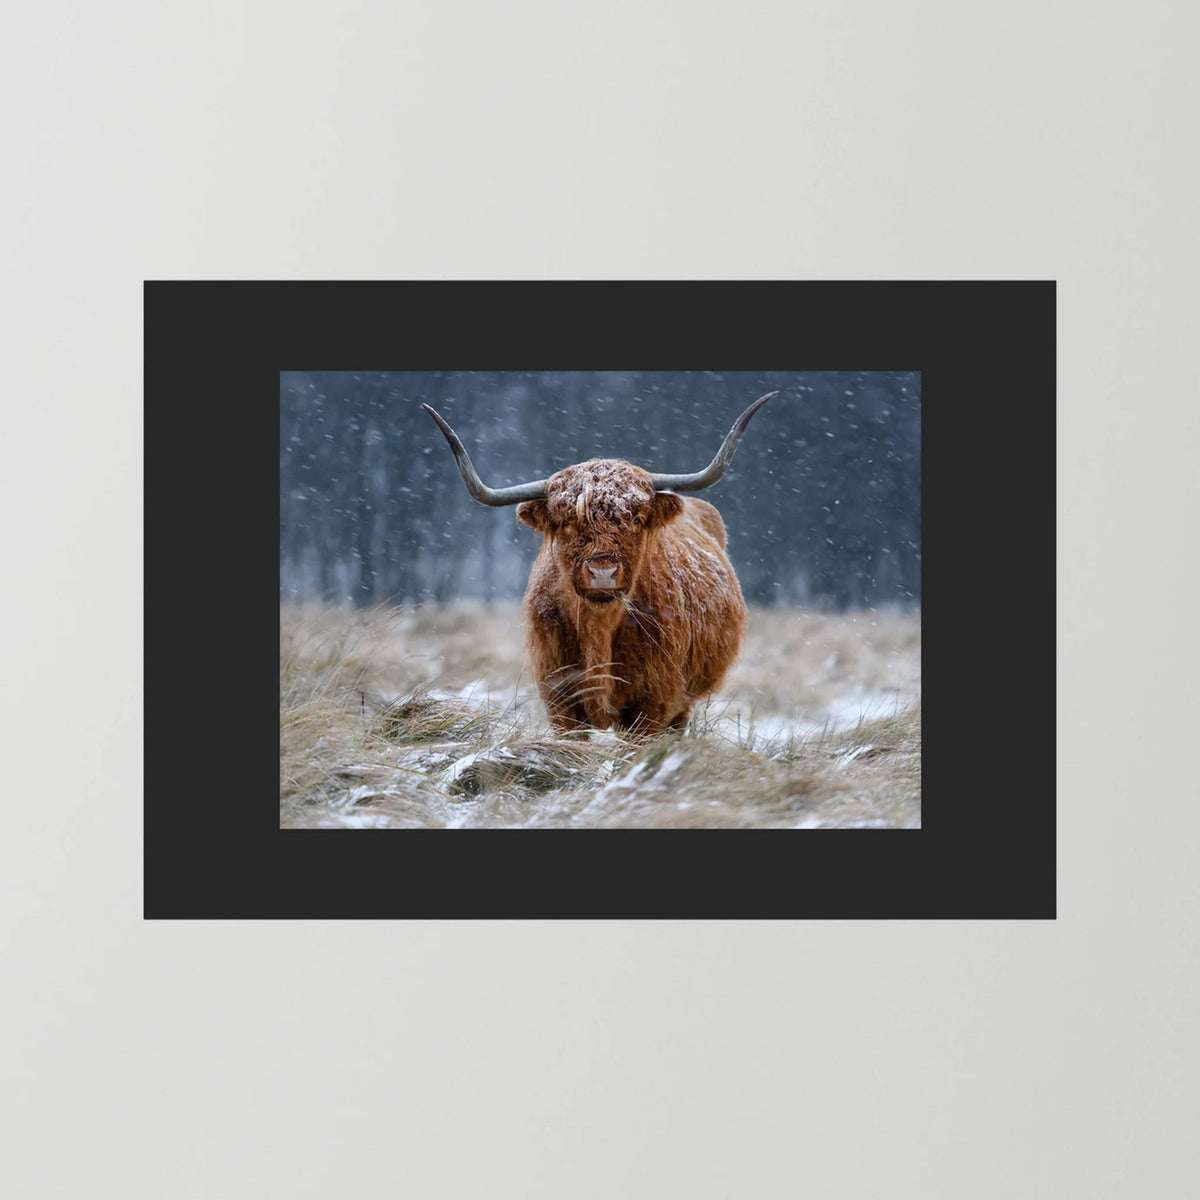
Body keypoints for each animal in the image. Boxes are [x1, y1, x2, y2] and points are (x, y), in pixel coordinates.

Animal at [422, 391, 779, 735]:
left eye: (635, 518)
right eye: (567, 521)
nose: (602, 572)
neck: (599, 628)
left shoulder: (653, 702)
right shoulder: (559, 699)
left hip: (683, 703)